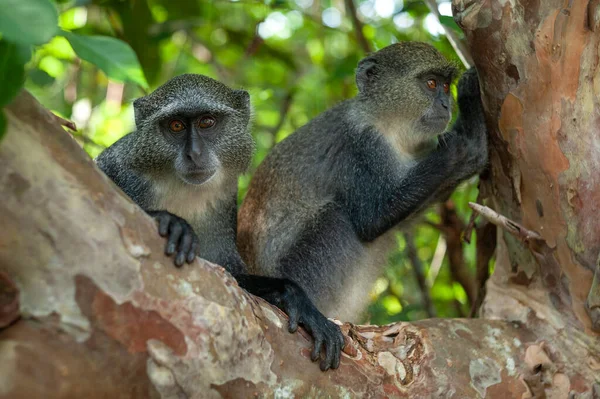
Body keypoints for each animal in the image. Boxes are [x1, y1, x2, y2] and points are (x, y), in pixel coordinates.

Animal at [96, 73, 344, 370]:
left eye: (207, 122)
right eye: (176, 125)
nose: (194, 154)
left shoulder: (224, 199)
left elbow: (230, 274)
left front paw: (296, 299)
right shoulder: (122, 170)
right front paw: (171, 222)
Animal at [237, 43, 490, 324]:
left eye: (446, 86)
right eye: (431, 83)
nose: (447, 104)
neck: (389, 126)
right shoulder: (361, 145)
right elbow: (371, 218)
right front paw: (464, 139)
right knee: (337, 216)